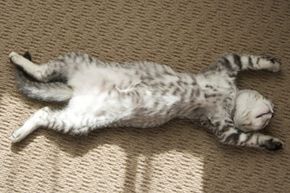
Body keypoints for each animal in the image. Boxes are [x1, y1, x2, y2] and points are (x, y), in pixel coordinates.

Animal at [8, 51, 284, 151]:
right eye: (267, 110)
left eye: (269, 118)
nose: (272, 111)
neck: (229, 97)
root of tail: (73, 90)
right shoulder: (228, 64)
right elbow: (253, 60)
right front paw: (275, 64)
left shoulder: (225, 130)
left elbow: (248, 139)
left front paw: (271, 142)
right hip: (73, 61)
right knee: (38, 72)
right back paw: (17, 58)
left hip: (76, 120)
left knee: (44, 110)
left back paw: (19, 133)